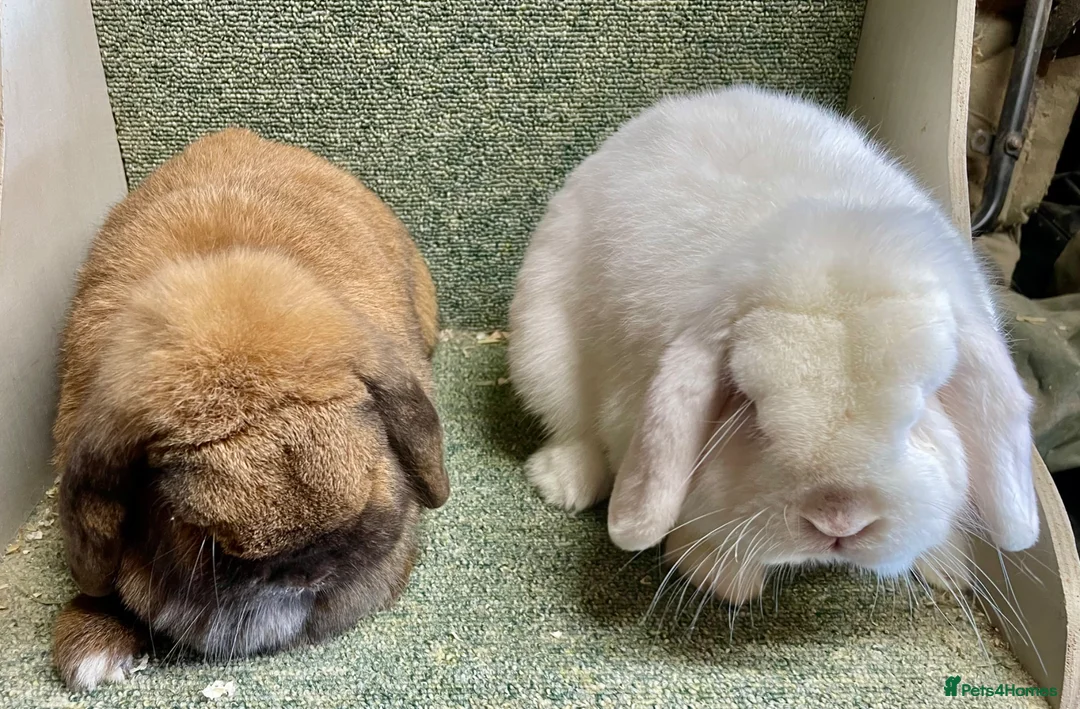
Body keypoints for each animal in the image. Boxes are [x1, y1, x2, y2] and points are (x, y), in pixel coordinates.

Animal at [508, 85, 1039, 607]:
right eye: (751, 406)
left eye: (923, 407)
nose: (838, 522)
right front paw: (726, 581)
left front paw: (950, 570)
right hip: (541, 350)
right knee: (573, 430)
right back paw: (563, 483)